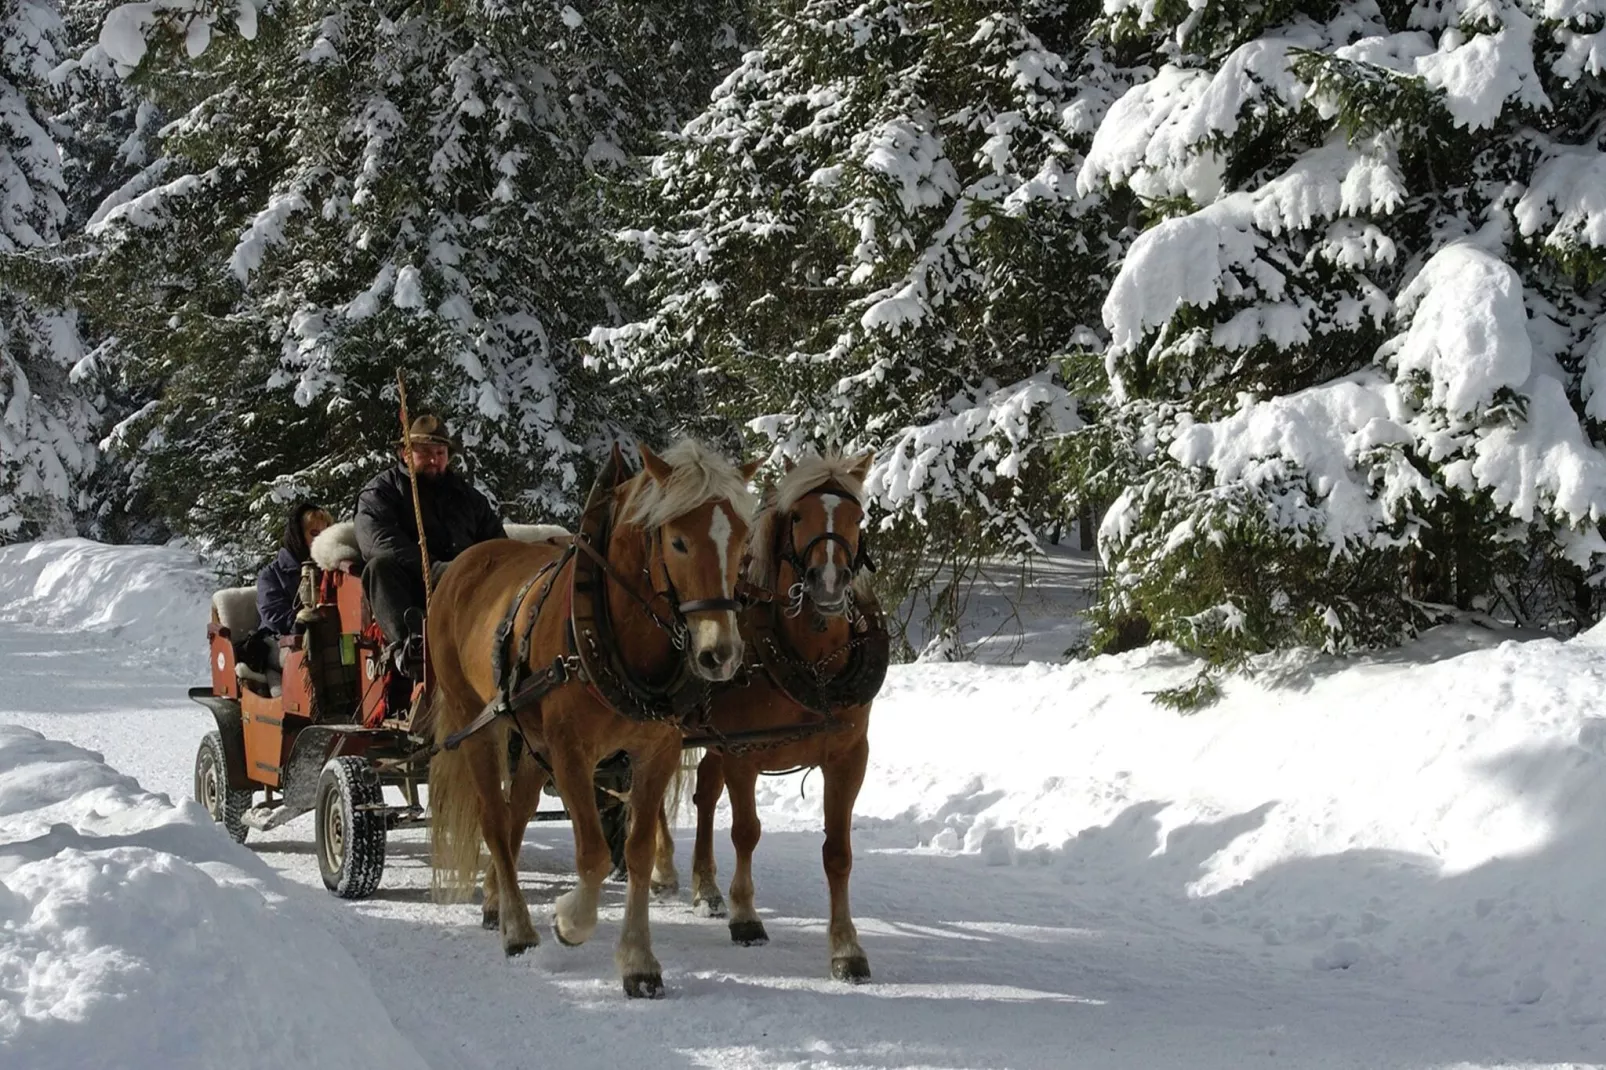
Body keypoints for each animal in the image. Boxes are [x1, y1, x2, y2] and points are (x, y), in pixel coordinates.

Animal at [423, 436, 754, 996]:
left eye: (742, 540)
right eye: (678, 542)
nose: (720, 654)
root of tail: (460, 565)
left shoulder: (657, 751)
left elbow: (637, 852)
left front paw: (639, 961)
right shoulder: (572, 751)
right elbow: (595, 855)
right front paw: (568, 921)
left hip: (529, 738)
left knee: (516, 814)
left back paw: (495, 902)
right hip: (478, 722)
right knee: (495, 818)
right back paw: (517, 927)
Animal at [655, 446, 886, 976]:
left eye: (858, 516)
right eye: (798, 516)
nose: (828, 583)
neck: (809, 660)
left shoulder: (849, 758)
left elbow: (838, 852)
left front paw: (846, 947)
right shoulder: (744, 754)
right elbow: (746, 832)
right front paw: (746, 917)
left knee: (703, 796)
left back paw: (705, 888)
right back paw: (662, 871)